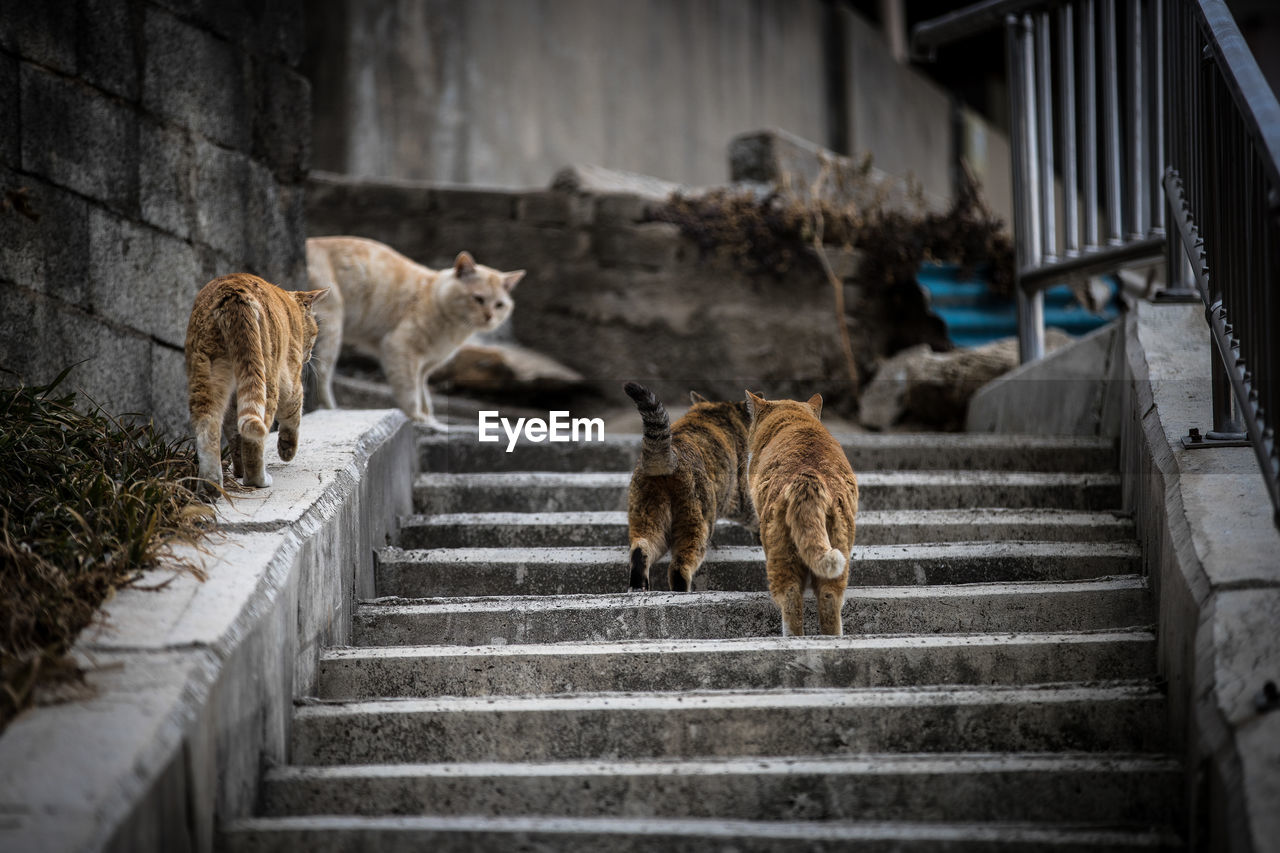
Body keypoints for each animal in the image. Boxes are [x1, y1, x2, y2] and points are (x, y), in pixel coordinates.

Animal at [184, 272, 327, 499]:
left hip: (207, 376)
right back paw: (258, 480)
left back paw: (210, 488)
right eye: (314, 335)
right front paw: (287, 450)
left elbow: (234, 437)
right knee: (255, 439)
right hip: (267, 379)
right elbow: (293, 415)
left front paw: (238, 470)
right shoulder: (291, 379)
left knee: (208, 428)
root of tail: (232, 292)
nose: (310, 355)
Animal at [307, 234, 522, 427]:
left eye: (499, 305)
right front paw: (416, 416)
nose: (489, 317)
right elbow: (410, 391)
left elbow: (423, 393)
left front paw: (430, 419)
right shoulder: (400, 348)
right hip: (332, 329)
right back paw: (331, 409)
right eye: (478, 299)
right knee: (321, 376)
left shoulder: (424, 367)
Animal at [624, 384, 752, 591]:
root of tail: (670, 456)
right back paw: (682, 590)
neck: (714, 412)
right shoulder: (740, 497)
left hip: (647, 516)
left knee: (640, 549)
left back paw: (638, 586)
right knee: (680, 565)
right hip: (694, 522)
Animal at [747, 389, 855, 630]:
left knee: (791, 601)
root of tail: (807, 477)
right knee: (830, 599)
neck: (795, 420)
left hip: (779, 550)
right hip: (839, 541)